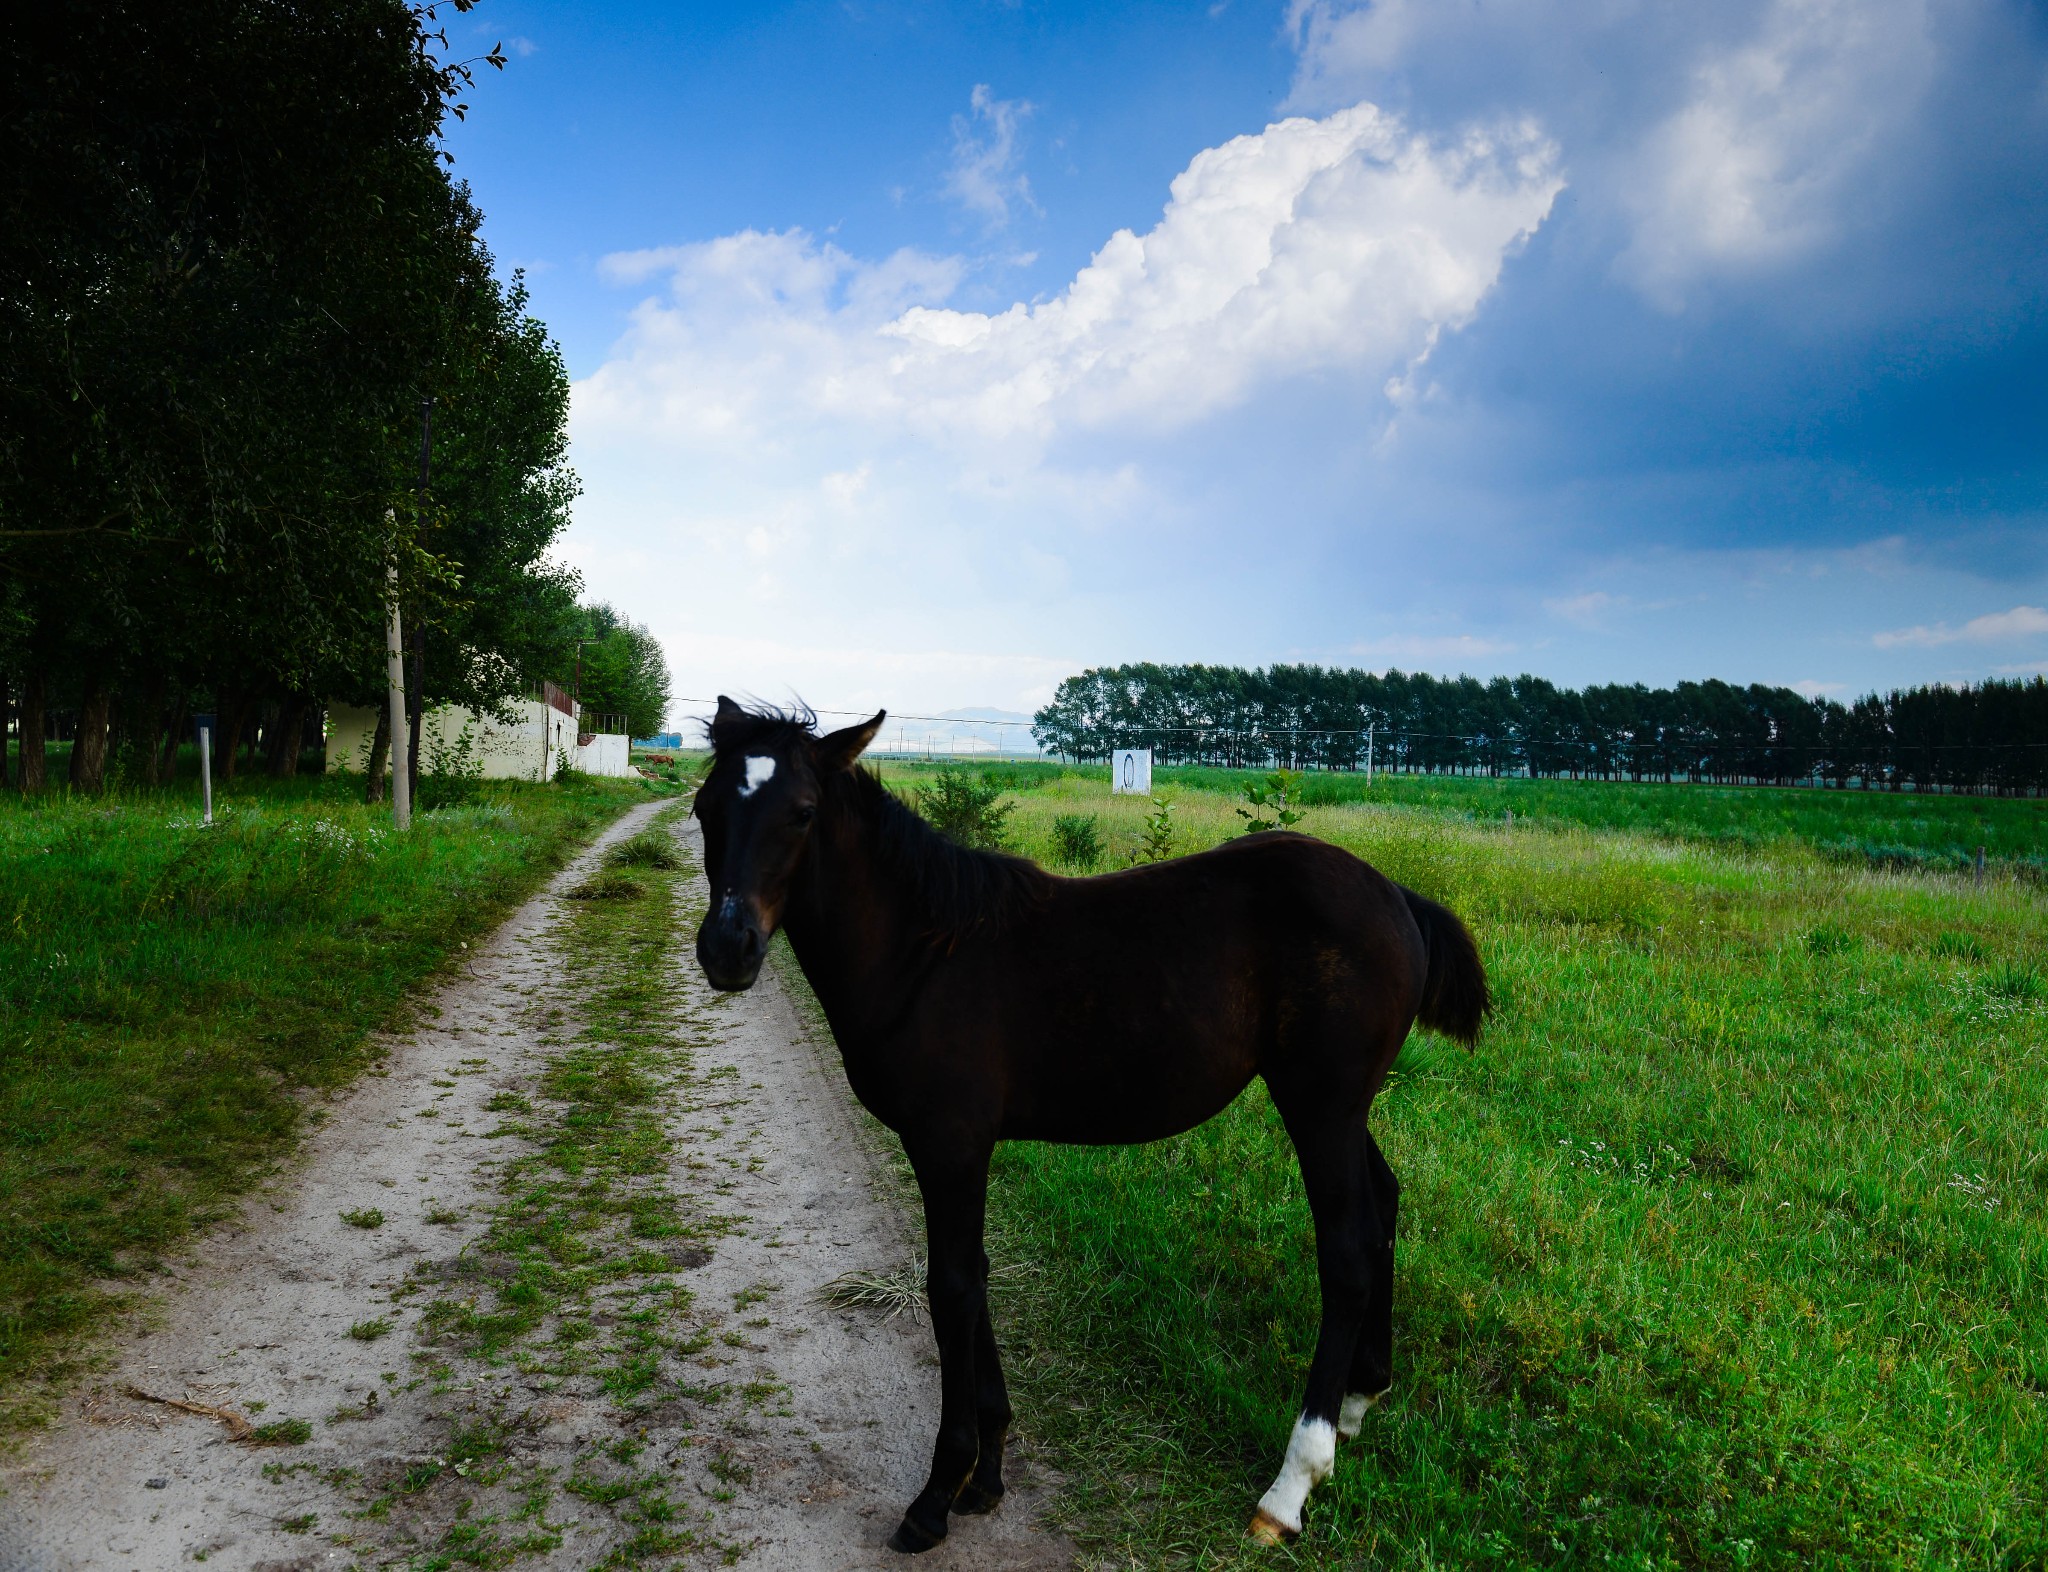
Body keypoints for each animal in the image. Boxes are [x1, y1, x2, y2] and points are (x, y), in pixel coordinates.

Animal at [692, 704, 1490, 1555]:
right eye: (704, 809)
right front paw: (989, 1475)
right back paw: (1358, 1402)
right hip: (1340, 1105)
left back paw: (1290, 1485)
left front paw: (941, 1490)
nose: (728, 950)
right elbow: (975, 1277)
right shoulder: (957, 1150)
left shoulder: (949, 1144)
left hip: (1321, 1102)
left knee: (1346, 1253)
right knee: (1385, 1207)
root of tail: (1397, 896)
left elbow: (951, 1289)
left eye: (803, 813)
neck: (923, 953)